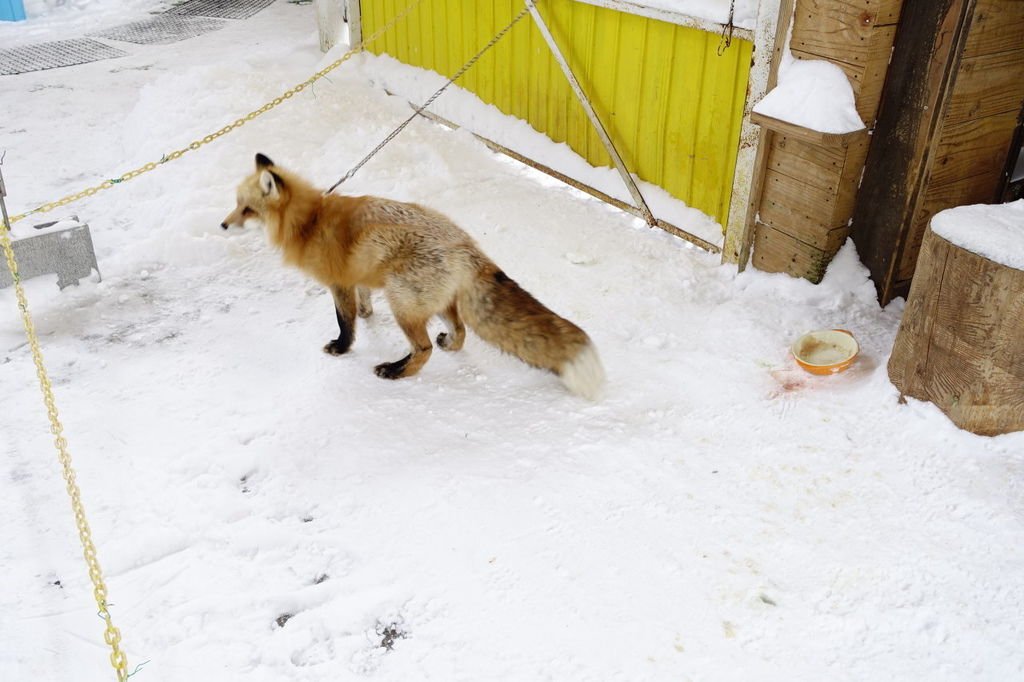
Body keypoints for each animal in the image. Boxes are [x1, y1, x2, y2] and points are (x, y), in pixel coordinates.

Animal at [224, 153, 602, 399]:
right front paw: (367, 313)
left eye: (248, 210)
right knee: (460, 329)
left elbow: (346, 322)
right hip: (433, 302)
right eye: (236, 203)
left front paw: (342, 348)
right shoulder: (358, 276)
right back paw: (447, 344)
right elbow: (363, 301)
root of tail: (466, 244)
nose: (224, 225)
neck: (310, 222)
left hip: (403, 303)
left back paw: (395, 371)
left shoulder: (339, 284)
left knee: (423, 348)